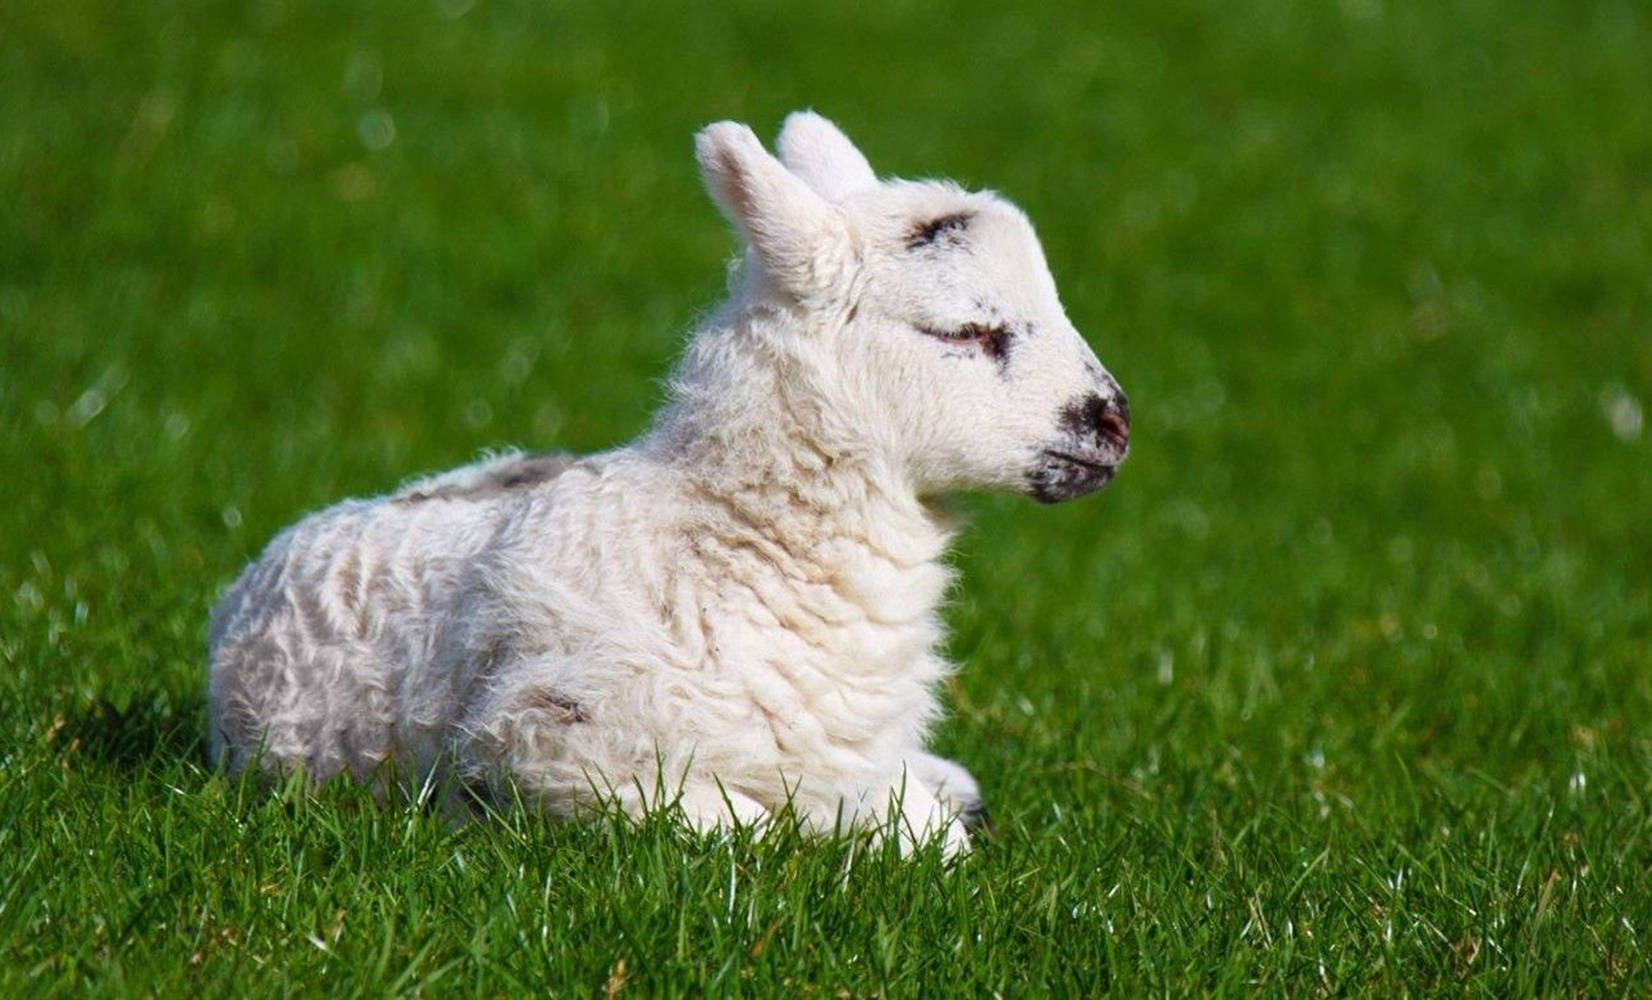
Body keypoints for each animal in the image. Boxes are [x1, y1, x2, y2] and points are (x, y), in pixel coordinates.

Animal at [207, 111, 1130, 856]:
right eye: (967, 332)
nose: (1116, 421)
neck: (734, 542)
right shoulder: (544, 748)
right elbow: (744, 827)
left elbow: (918, 828)